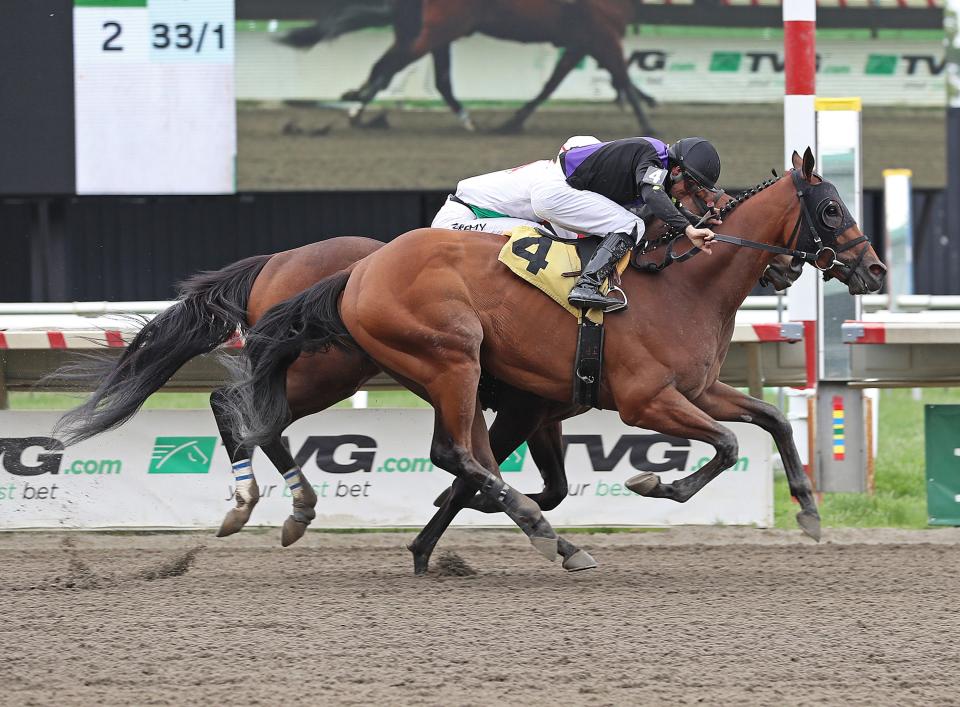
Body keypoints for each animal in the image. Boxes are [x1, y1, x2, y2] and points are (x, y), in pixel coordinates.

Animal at [223, 149, 884, 568]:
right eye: (831, 209)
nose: (874, 270)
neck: (685, 285)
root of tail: (358, 273)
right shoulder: (645, 400)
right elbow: (724, 445)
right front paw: (653, 482)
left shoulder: (689, 390)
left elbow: (770, 421)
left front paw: (808, 509)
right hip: (443, 360)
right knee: (451, 452)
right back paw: (548, 537)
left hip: (414, 372)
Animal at [284, 0, 656, 133]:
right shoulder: (602, 33)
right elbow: (620, 73)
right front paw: (648, 124)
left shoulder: (586, 39)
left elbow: (554, 82)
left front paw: (512, 121)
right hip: (441, 27)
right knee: (392, 66)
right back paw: (357, 109)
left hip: (438, 30)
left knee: (407, 70)